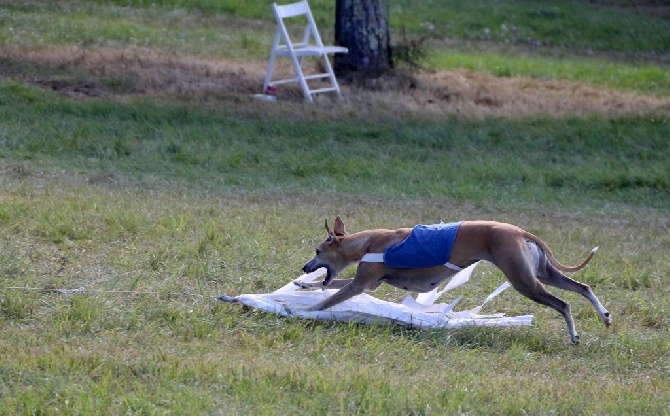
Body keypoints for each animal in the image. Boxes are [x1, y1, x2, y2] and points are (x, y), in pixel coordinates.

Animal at [300, 216, 616, 342]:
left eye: (317, 251)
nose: (305, 267)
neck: (366, 242)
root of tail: (518, 231)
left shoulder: (360, 284)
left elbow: (330, 298)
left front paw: (304, 311)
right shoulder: (370, 282)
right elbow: (330, 285)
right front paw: (304, 284)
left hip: (524, 281)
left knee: (563, 304)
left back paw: (574, 335)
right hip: (542, 273)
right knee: (583, 287)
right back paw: (605, 316)